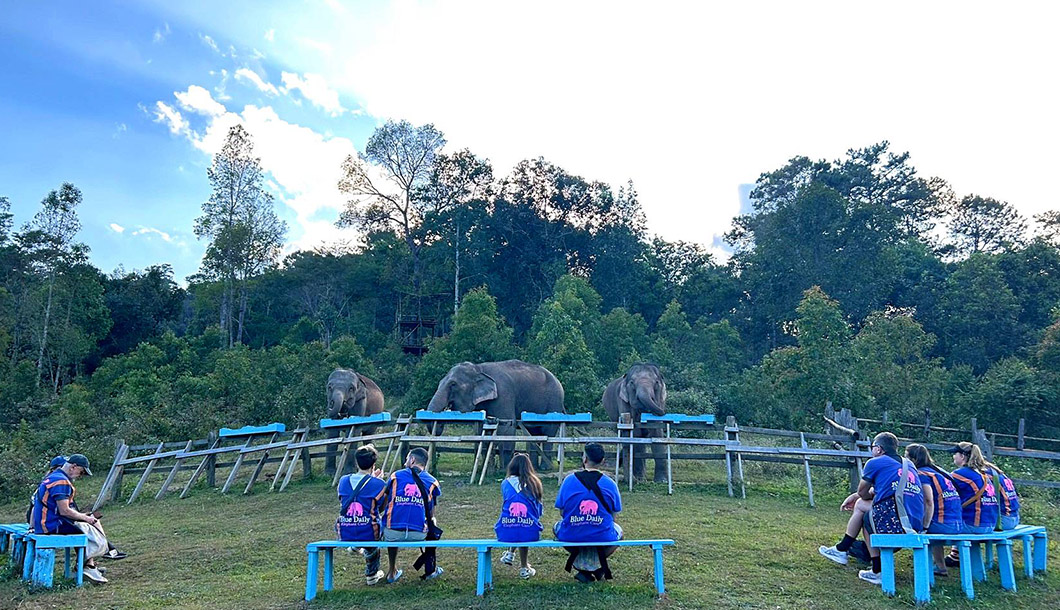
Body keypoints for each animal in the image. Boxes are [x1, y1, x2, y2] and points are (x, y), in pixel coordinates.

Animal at [426, 362, 568, 473]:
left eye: (453, 384)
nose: (446, 408)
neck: (479, 369)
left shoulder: (503, 395)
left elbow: (507, 428)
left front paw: (504, 470)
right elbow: (482, 431)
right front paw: (485, 468)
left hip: (553, 403)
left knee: (548, 431)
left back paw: (545, 468)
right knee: (534, 433)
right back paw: (534, 468)